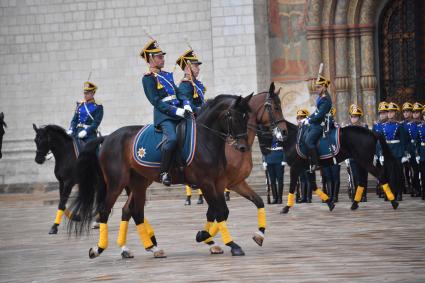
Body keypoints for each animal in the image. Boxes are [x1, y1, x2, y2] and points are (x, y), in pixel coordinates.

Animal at [69, 94, 253, 258]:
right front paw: (231, 245)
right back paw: (99, 248)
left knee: (133, 211)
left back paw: (149, 248)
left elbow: (220, 211)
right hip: (116, 183)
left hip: (139, 182)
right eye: (234, 117)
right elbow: (220, 212)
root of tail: (108, 137)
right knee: (105, 210)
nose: (243, 147)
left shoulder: (218, 182)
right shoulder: (206, 182)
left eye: (246, 118)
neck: (205, 139)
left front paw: (204, 236)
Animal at [111, 83, 286, 258]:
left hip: (141, 180)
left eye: (246, 117)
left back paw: (138, 246)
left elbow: (255, 202)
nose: (283, 132)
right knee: (131, 209)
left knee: (129, 210)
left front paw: (257, 235)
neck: (209, 138)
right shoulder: (213, 183)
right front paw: (209, 238)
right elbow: (219, 211)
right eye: (275, 107)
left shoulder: (234, 183)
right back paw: (137, 246)